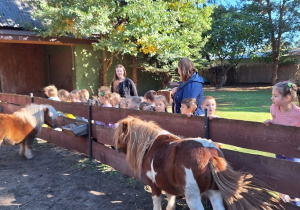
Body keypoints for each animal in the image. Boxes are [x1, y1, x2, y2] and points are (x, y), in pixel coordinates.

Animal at [114, 115, 284, 210]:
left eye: (118, 135)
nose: (114, 147)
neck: (151, 144)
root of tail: (210, 155)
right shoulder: (167, 184)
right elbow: (171, 201)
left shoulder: (154, 184)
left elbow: (157, 203)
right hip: (214, 193)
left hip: (193, 197)